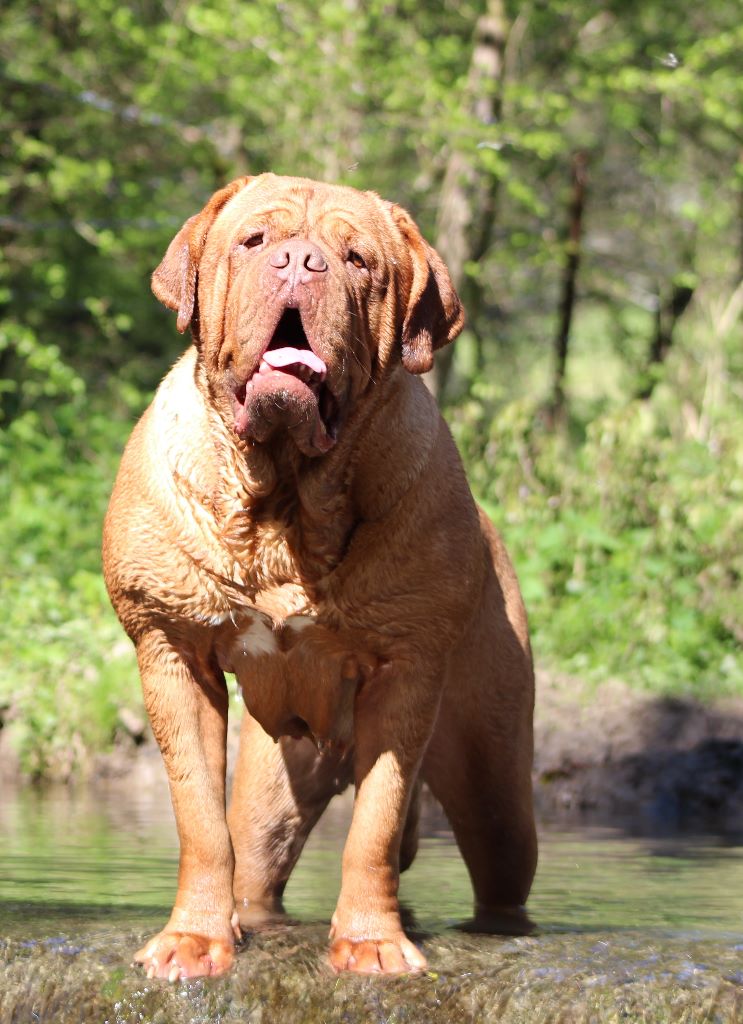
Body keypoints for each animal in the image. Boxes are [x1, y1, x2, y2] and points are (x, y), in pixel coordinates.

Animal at [101, 172, 540, 978]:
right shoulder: (172, 653)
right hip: (273, 794)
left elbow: (374, 825)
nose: (302, 263)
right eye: (255, 242)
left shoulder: (406, 672)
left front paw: (371, 943)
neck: (283, 502)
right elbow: (199, 819)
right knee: (252, 860)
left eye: (357, 259)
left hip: (495, 784)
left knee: (499, 862)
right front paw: (194, 941)